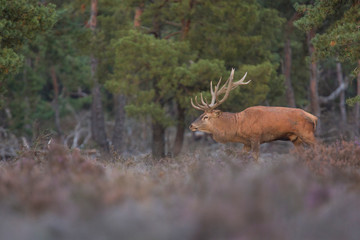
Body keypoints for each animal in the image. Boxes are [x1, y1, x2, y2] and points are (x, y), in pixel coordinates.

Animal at [188, 68, 318, 161]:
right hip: (295, 138)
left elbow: (255, 159)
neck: (237, 126)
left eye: (206, 117)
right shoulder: (246, 143)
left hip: (307, 134)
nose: (191, 125)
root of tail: (314, 118)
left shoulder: (255, 137)